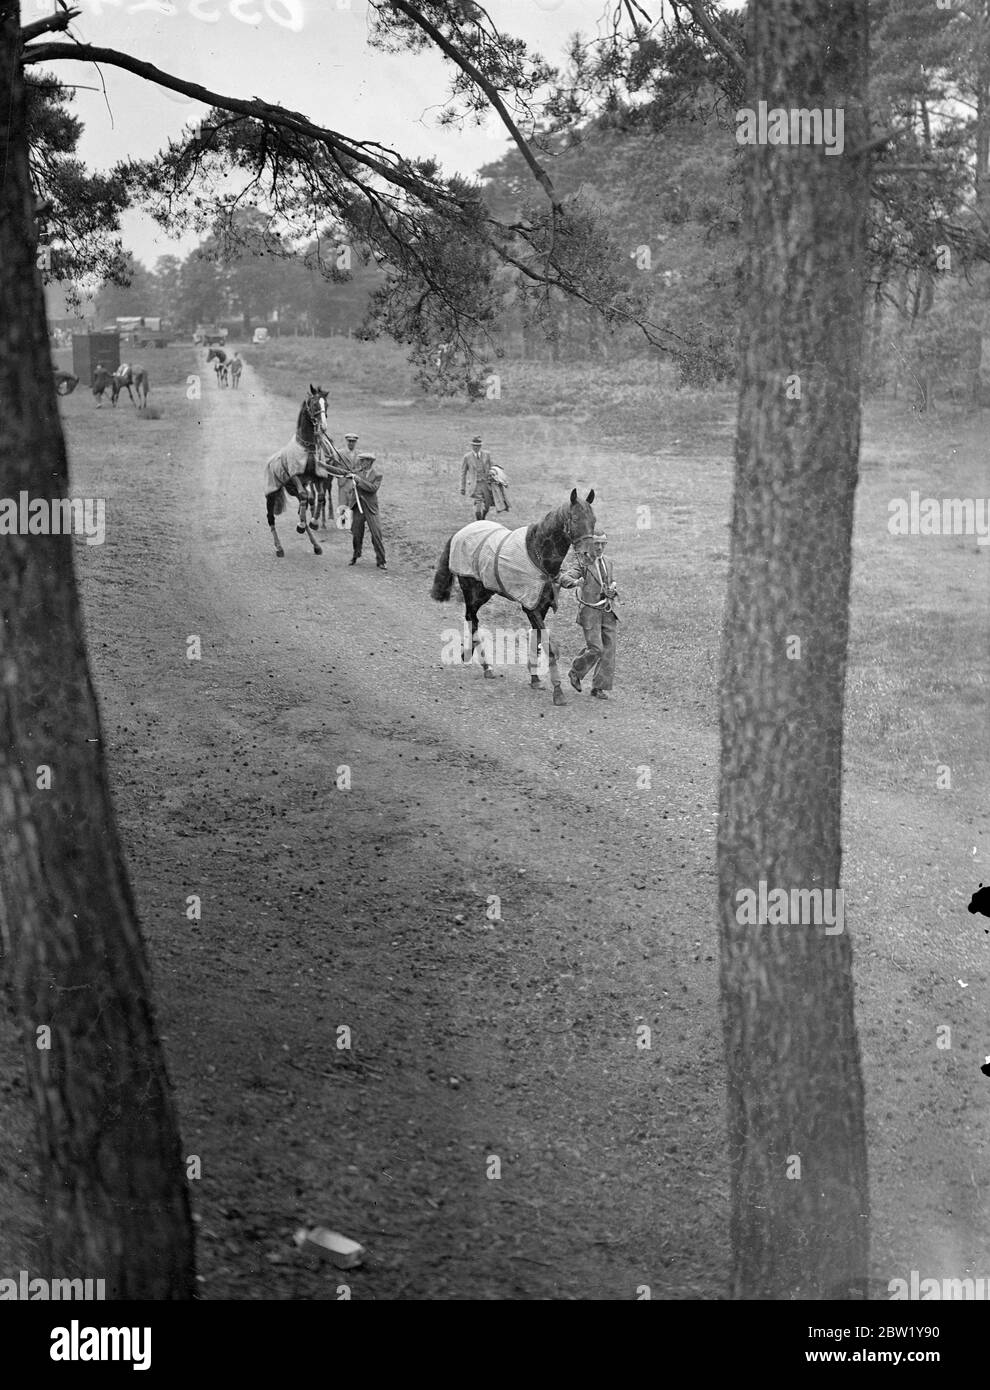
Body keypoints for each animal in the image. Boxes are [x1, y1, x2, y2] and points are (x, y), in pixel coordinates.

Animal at [428, 489, 595, 706]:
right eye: (575, 519)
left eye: (593, 519)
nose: (589, 555)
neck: (538, 554)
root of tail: (461, 532)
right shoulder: (530, 607)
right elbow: (549, 647)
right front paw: (558, 691)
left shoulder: (541, 607)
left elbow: (537, 640)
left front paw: (535, 679)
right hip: (471, 589)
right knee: (472, 618)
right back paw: (485, 665)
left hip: (486, 590)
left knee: (473, 620)